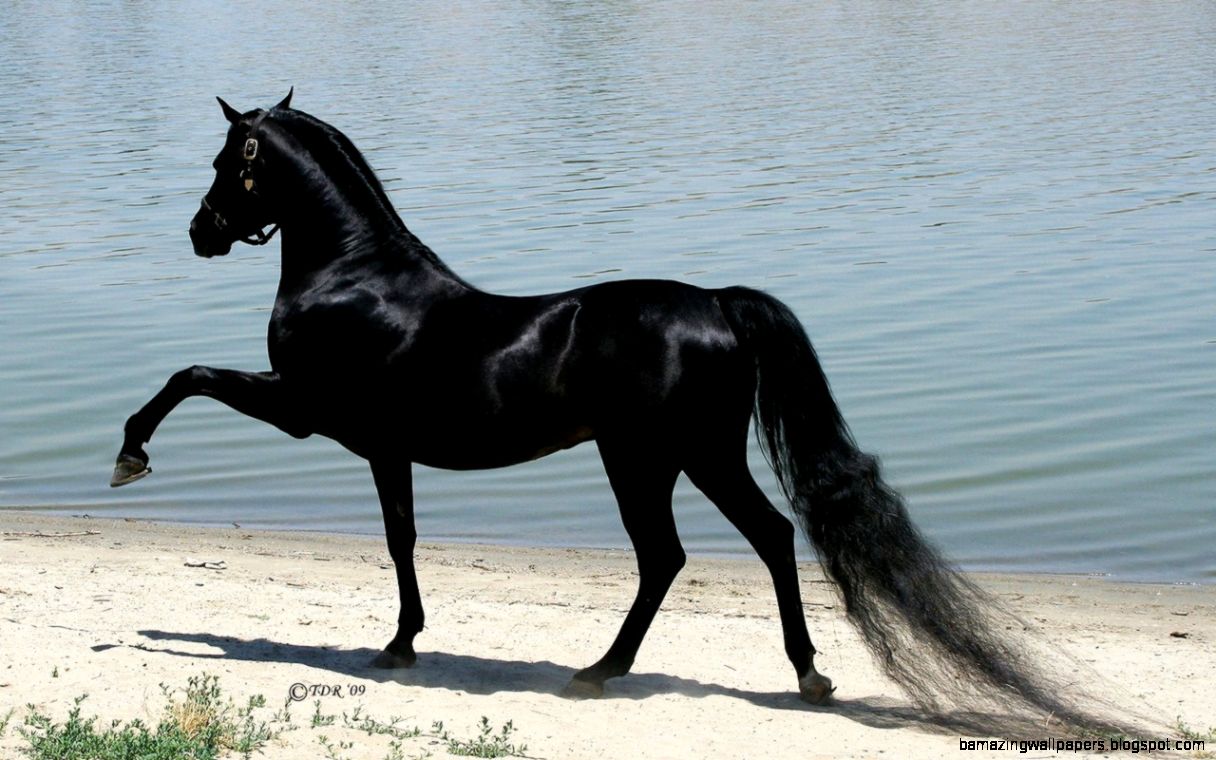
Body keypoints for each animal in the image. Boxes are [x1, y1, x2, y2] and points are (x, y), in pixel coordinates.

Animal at [110, 91, 1113, 724]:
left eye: (225, 161)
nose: (200, 232)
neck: (354, 276)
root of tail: (718, 303)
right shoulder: (384, 448)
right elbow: (402, 539)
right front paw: (401, 642)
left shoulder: (304, 410)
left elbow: (188, 375)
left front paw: (130, 455)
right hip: (688, 457)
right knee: (764, 539)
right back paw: (805, 675)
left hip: (650, 459)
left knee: (677, 555)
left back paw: (604, 672)